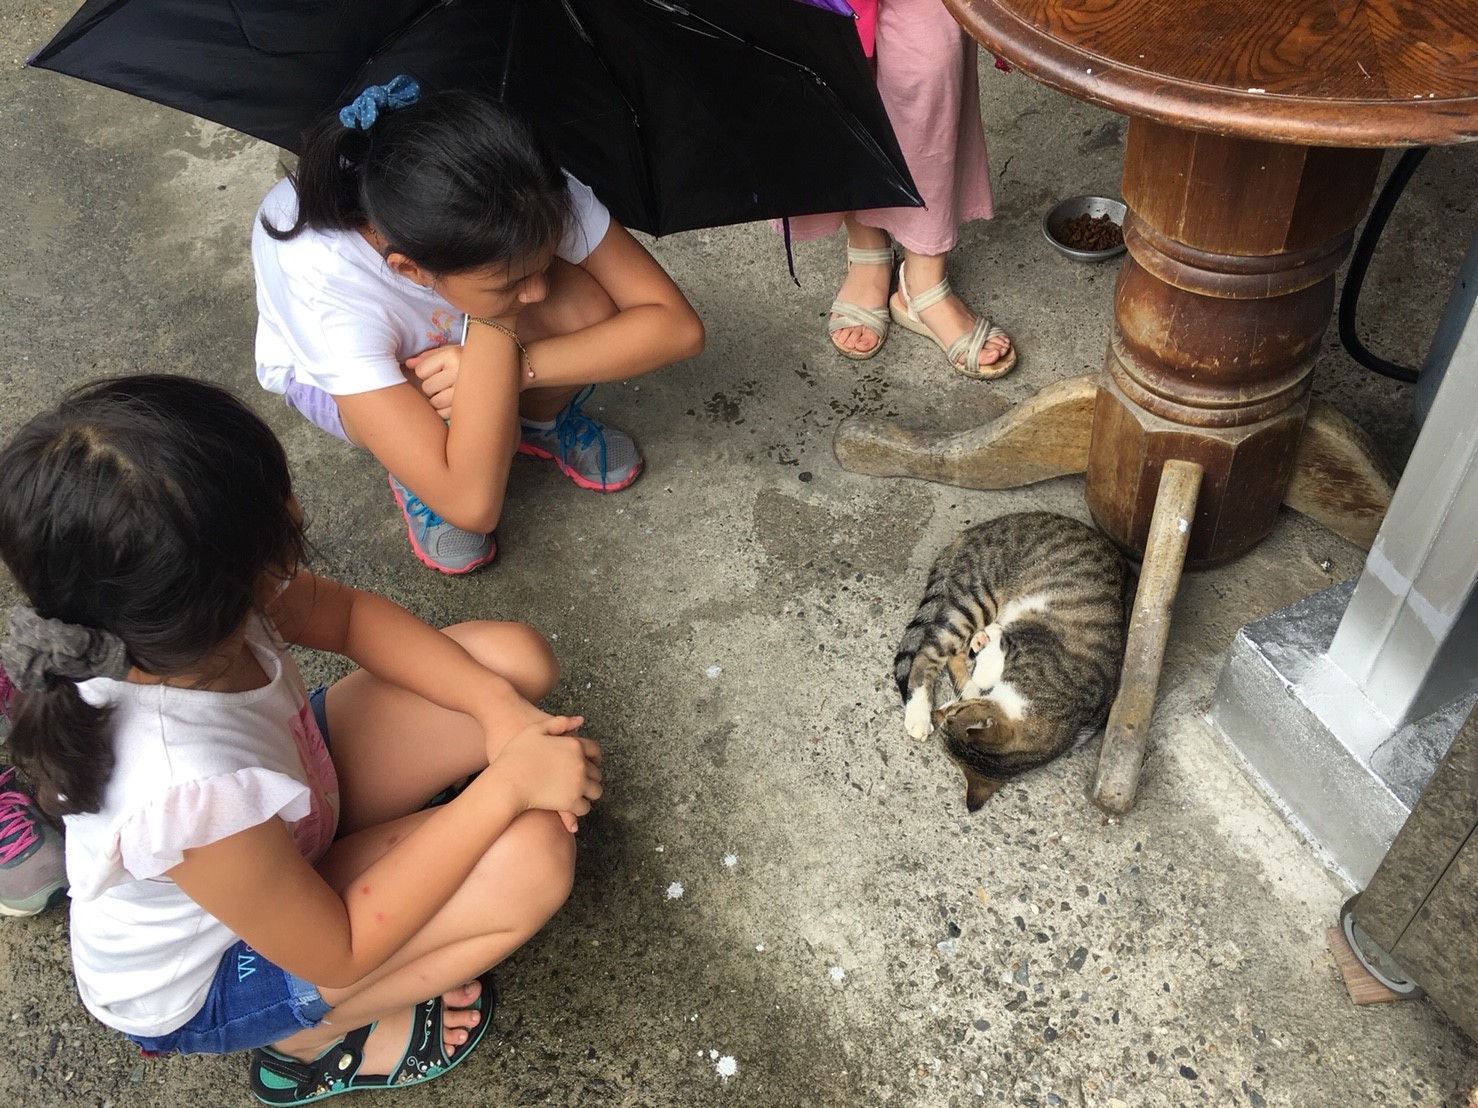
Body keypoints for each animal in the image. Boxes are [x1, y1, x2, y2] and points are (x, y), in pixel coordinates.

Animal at [894, 511, 1129, 810]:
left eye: (954, 713)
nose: (939, 712)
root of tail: (971, 533)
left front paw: (983, 653)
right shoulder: (1028, 634)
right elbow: (991, 661)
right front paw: (987, 652)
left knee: (954, 653)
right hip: (977, 597)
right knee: (928, 653)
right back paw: (919, 713)